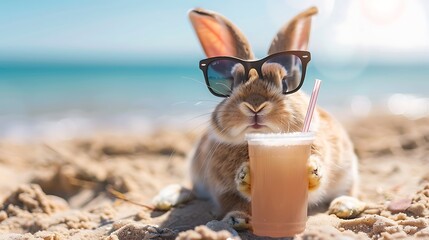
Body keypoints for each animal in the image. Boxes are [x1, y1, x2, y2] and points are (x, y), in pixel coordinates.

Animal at [184, 6, 362, 229]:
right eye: (231, 83)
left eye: (285, 83)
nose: (255, 105)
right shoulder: (222, 190)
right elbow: (236, 202)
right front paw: (237, 214)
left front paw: (312, 170)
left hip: (348, 171)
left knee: (349, 190)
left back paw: (345, 206)